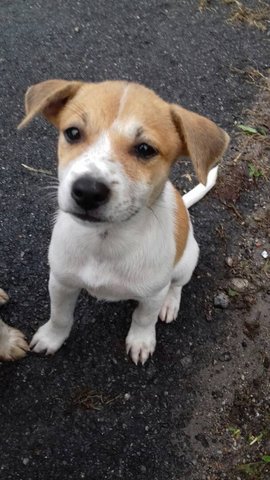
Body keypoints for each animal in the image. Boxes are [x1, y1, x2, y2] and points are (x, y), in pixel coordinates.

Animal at [18, 80, 230, 364]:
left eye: (145, 149)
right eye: (72, 133)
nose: (87, 191)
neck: (105, 240)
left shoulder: (152, 294)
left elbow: (143, 319)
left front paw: (141, 342)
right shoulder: (61, 281)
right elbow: (60, 316)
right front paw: (52, 338)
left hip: (187, 260)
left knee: (177, 285)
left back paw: (170, 304)